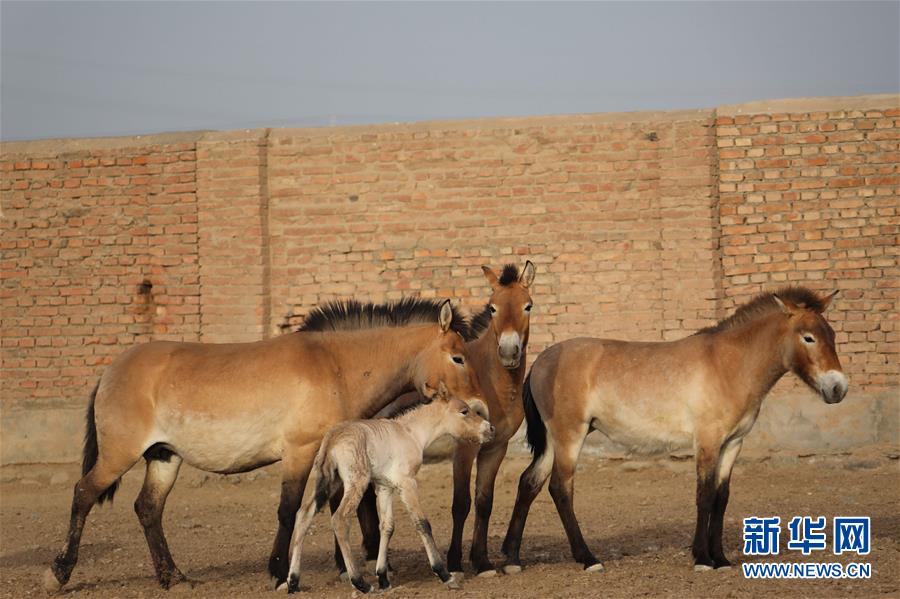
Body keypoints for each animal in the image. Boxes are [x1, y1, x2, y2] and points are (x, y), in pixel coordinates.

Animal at [286, 385, 495, 594]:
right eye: (464, 411)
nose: (490, 429)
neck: (410, 432)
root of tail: (332, 438)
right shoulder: (407, 483)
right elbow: (422, 524)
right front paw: (445, 575)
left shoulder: (384, 487)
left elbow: (387, 526)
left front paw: (383, 578)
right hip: (356, 483)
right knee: (339, 519)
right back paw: (360, 582)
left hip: (328, 482)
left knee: (304, 514)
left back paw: (293, 581)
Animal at [349, 262, 536, 577]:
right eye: (493, 307)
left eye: (528, 306)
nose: (509, 352)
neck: (491, 381)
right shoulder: (464, 450)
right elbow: (461, 503)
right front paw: (455, 562)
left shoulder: (495, 448)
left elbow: (484, 502)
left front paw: (482, 561)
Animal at [501, 287, 848, 573]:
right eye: (808, 337)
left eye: (831, 334)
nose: (838, 388)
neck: (728, 364)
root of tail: (541, 360)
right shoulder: (707, 441)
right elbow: (704, 495)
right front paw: (703, 558)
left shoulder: (733, 443)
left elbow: (721, 497)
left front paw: (721, 558)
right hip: (569, 436)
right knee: (560, 488)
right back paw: (588, 559)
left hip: (554, 440)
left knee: (529, 483)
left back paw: (512, 559)